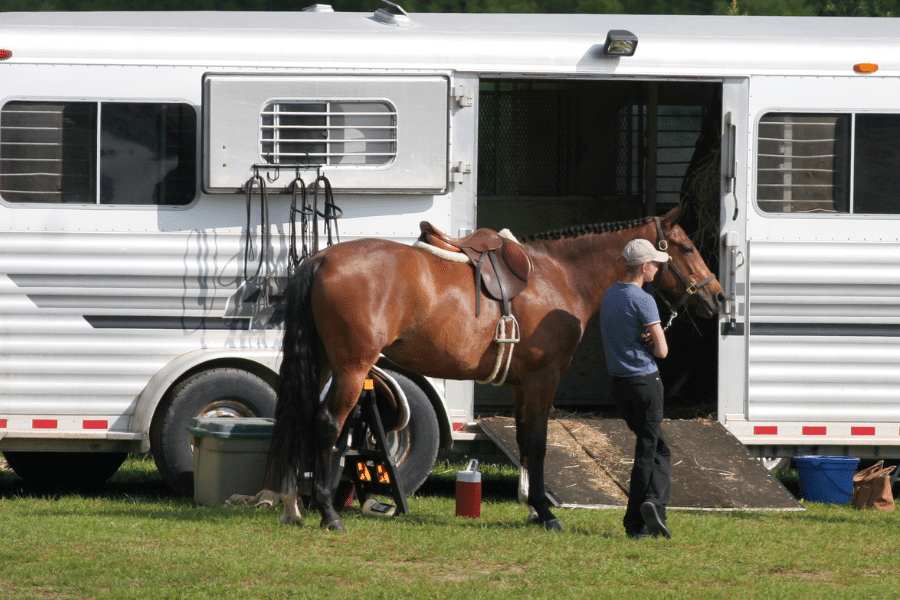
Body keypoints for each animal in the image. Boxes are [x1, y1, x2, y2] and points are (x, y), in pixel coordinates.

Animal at [268, 209, 724, 532]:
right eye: (686, 248)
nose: (718, 297)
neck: (559, 275)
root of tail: (322, 257)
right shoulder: (543, 377)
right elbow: (538, 443)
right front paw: (545, 513)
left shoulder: (522, 383)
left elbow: (524, 440)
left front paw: (533, 507)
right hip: (351, 366)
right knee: (327, 424)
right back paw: (328, 513)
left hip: (325, 363)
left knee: (299, 417)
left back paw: (292, 505)